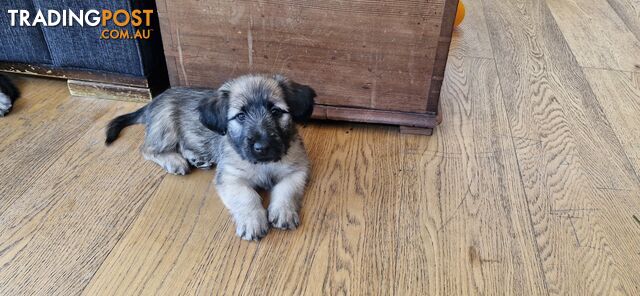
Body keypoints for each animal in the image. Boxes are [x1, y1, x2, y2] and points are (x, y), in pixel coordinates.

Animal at [106, 74, 318, 240]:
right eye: (240, 116)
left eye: (276, 111)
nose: (262, 147)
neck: (261, 164)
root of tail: (153, 101)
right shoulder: (230, 178)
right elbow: (246, 196)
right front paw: (252, 221)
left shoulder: (297, 169)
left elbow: (286, 189)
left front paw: (283, 211)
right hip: (166, 126)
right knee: (148, 149)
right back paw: (174, 161)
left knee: (183, 145)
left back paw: (196, 158)